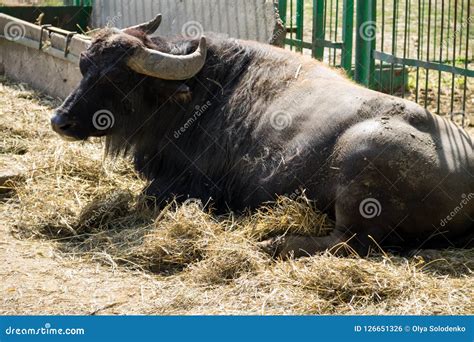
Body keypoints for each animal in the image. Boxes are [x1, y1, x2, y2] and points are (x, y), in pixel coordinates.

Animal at [50, 16, 472, 256]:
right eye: (85, 66)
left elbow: (145, 196)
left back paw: (273, 242)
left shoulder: (191, 186)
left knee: (349, 242)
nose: (60, 120)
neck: (201, 91)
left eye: (115, 78)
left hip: (360, 169)